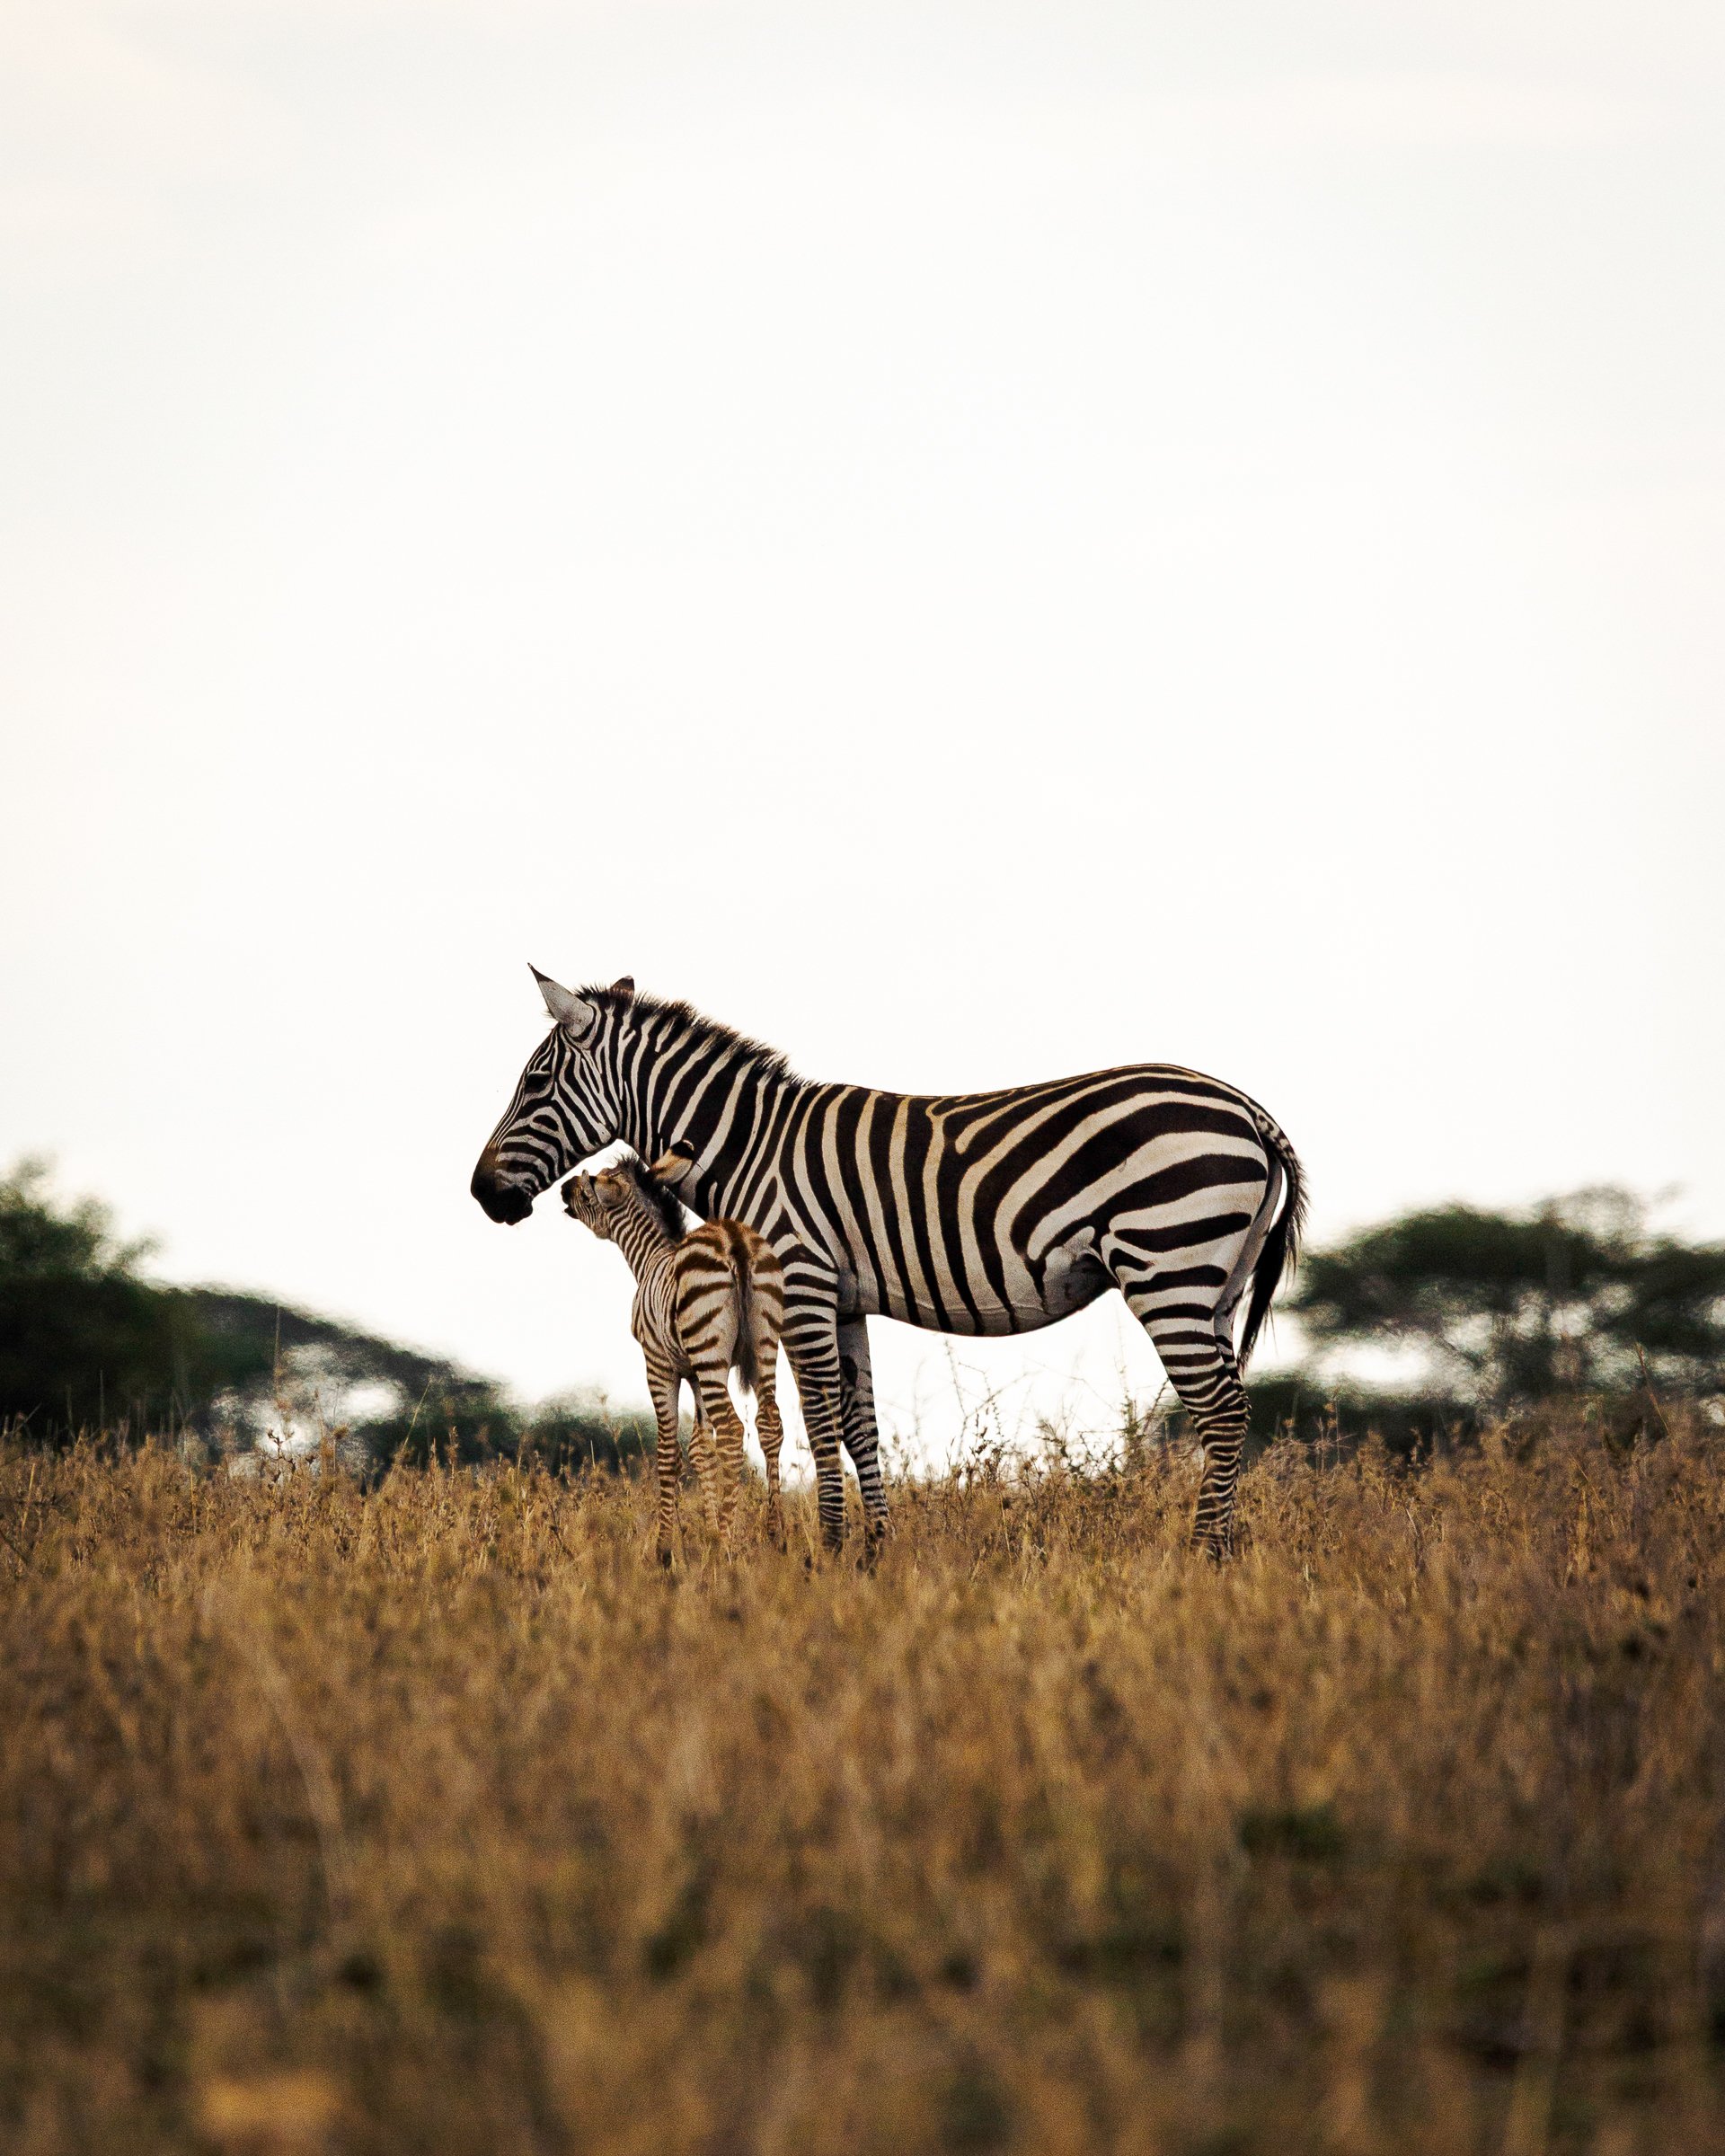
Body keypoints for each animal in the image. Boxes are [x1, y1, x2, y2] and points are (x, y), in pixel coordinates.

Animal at [561, 1151, 787, 1564]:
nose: (563, 1187)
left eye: (589, 1184)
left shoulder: (659, 1364)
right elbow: (700, 1448)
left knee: (732, 1429)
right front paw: (708, 1529)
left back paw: (726, 1546)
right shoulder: (694, 1372)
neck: (650, 1256)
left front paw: (665, 1549)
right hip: (764, 1344)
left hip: (709, 1351)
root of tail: (733, 1240)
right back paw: (775, 1534)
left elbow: (668, 1452)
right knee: (769, 1423)